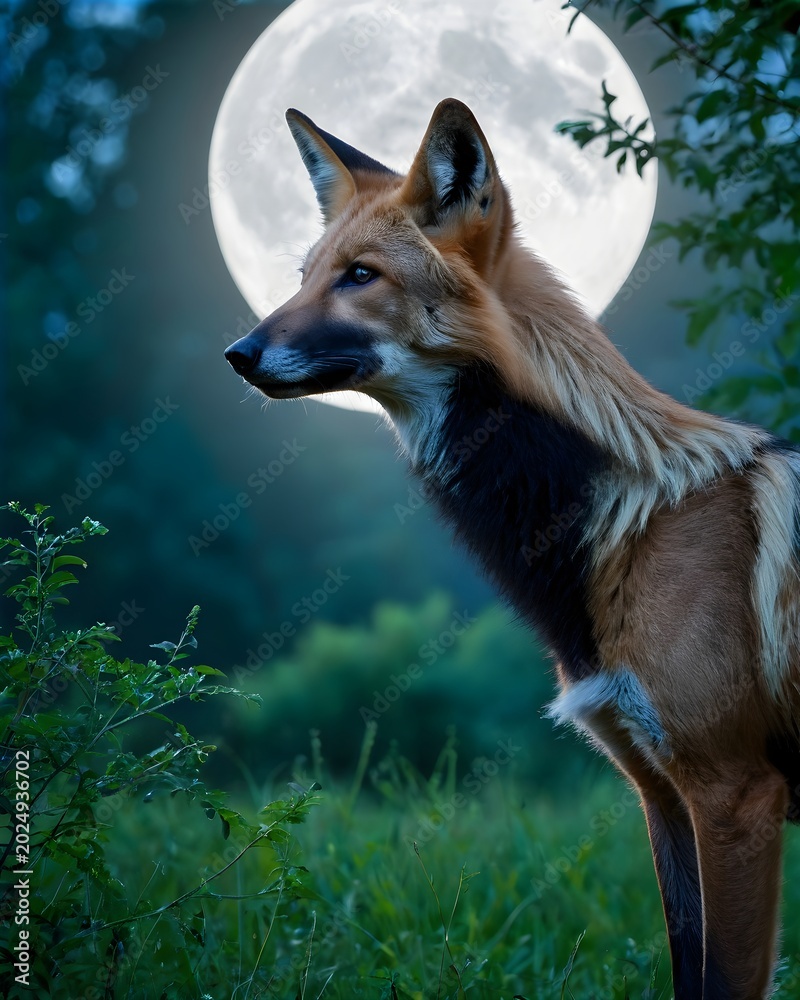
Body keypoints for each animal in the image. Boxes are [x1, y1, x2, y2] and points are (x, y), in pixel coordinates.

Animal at [225, 98, 800, 999]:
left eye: (360, 276)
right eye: (305, 272)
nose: (238, 354)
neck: (625, 528)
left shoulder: (735, 793)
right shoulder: (662, 794)